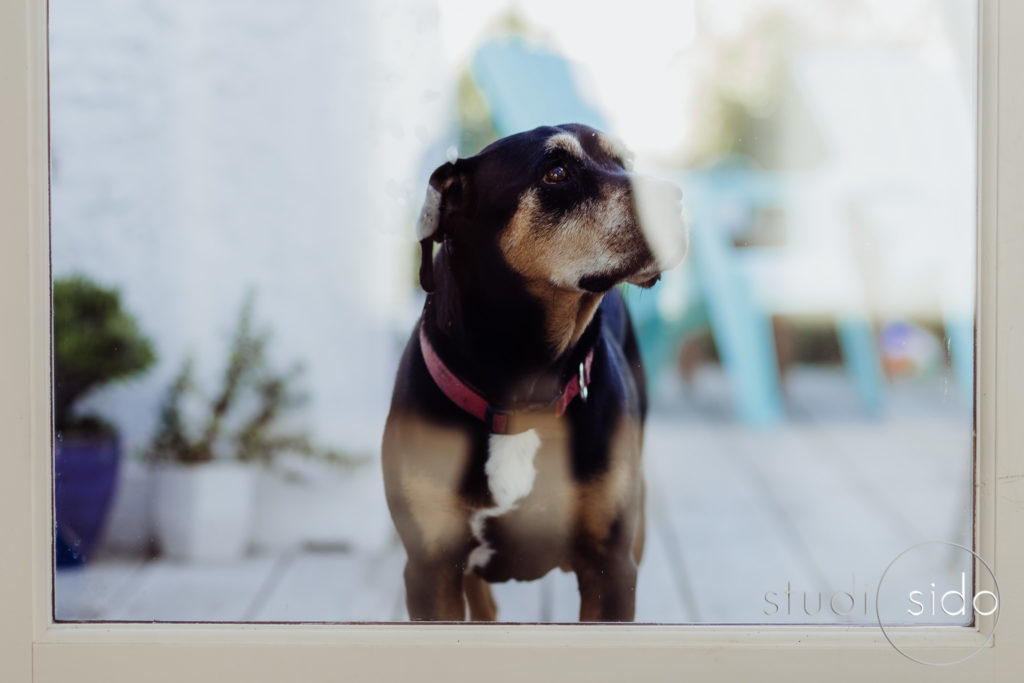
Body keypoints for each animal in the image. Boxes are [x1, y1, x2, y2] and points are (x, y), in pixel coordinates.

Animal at [385, 121, 688, 618]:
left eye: (624, 162)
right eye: (556, 172)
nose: (675, 197)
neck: (522, 388)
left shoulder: (611, 567)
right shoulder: (429, 568)